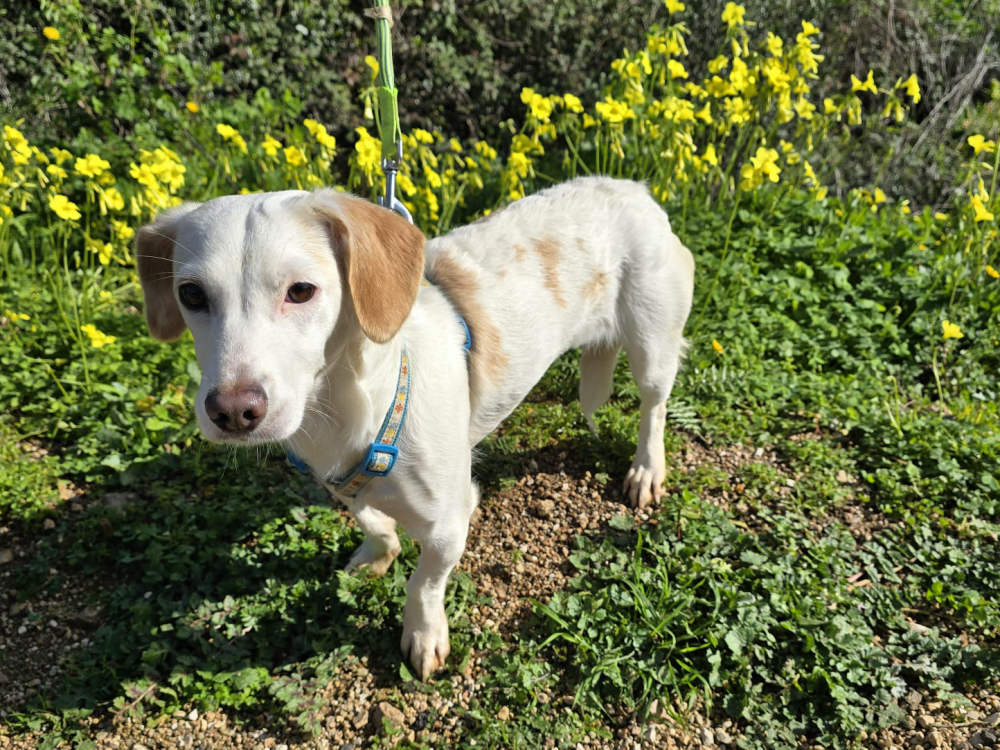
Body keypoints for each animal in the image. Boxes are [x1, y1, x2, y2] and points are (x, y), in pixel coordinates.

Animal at [136, 176, 695, 680]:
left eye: (301, 290)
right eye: (191, 294)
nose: (232, 411)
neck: (349, 410)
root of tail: (634, 187)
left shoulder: (451, 520)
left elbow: (423, 583)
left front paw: (423, 634)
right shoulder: (339, 483)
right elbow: (371, 522)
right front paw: (377, 554)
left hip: (652, 345)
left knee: (654, 408)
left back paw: (647, 469)